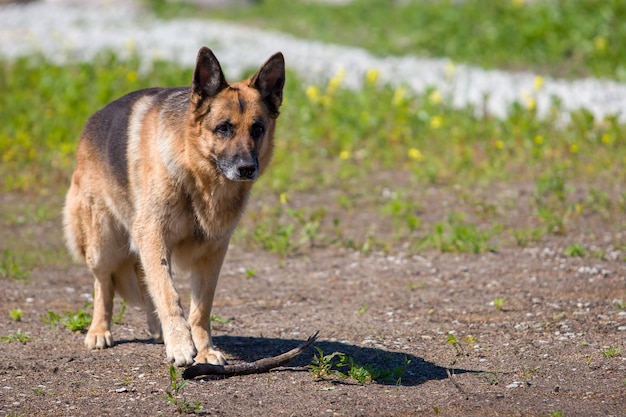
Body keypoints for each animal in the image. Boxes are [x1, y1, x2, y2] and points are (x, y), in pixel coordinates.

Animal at [62, 47, 282, 364]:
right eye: (224, 128)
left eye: (257, 129)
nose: (246, 169)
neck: (196, 174)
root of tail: (91, 123)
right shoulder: (153, 235)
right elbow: (168, 293)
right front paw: (180, 344)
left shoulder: (212, 253)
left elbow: (199, 309)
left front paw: (203, 350)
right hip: (104, 244)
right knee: (103, 283)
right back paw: (99, 330)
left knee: (143, 281)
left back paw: (157, 330)